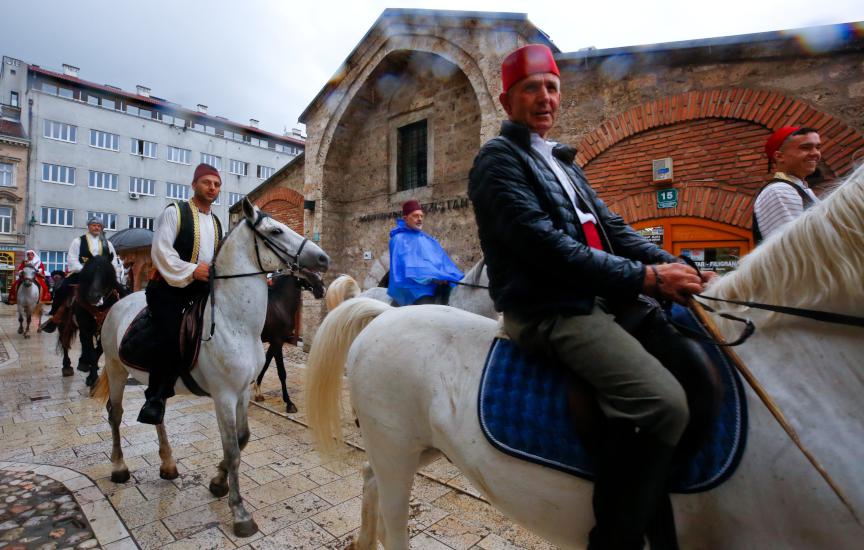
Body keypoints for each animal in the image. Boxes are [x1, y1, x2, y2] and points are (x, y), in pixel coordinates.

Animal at [256, 272, 328, 414]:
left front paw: (257, 390)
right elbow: (281, 372)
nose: (322, 290)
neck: (279, 304)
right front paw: (289, 403)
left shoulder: (275, 342)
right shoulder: (277, 342)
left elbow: (266, 363)